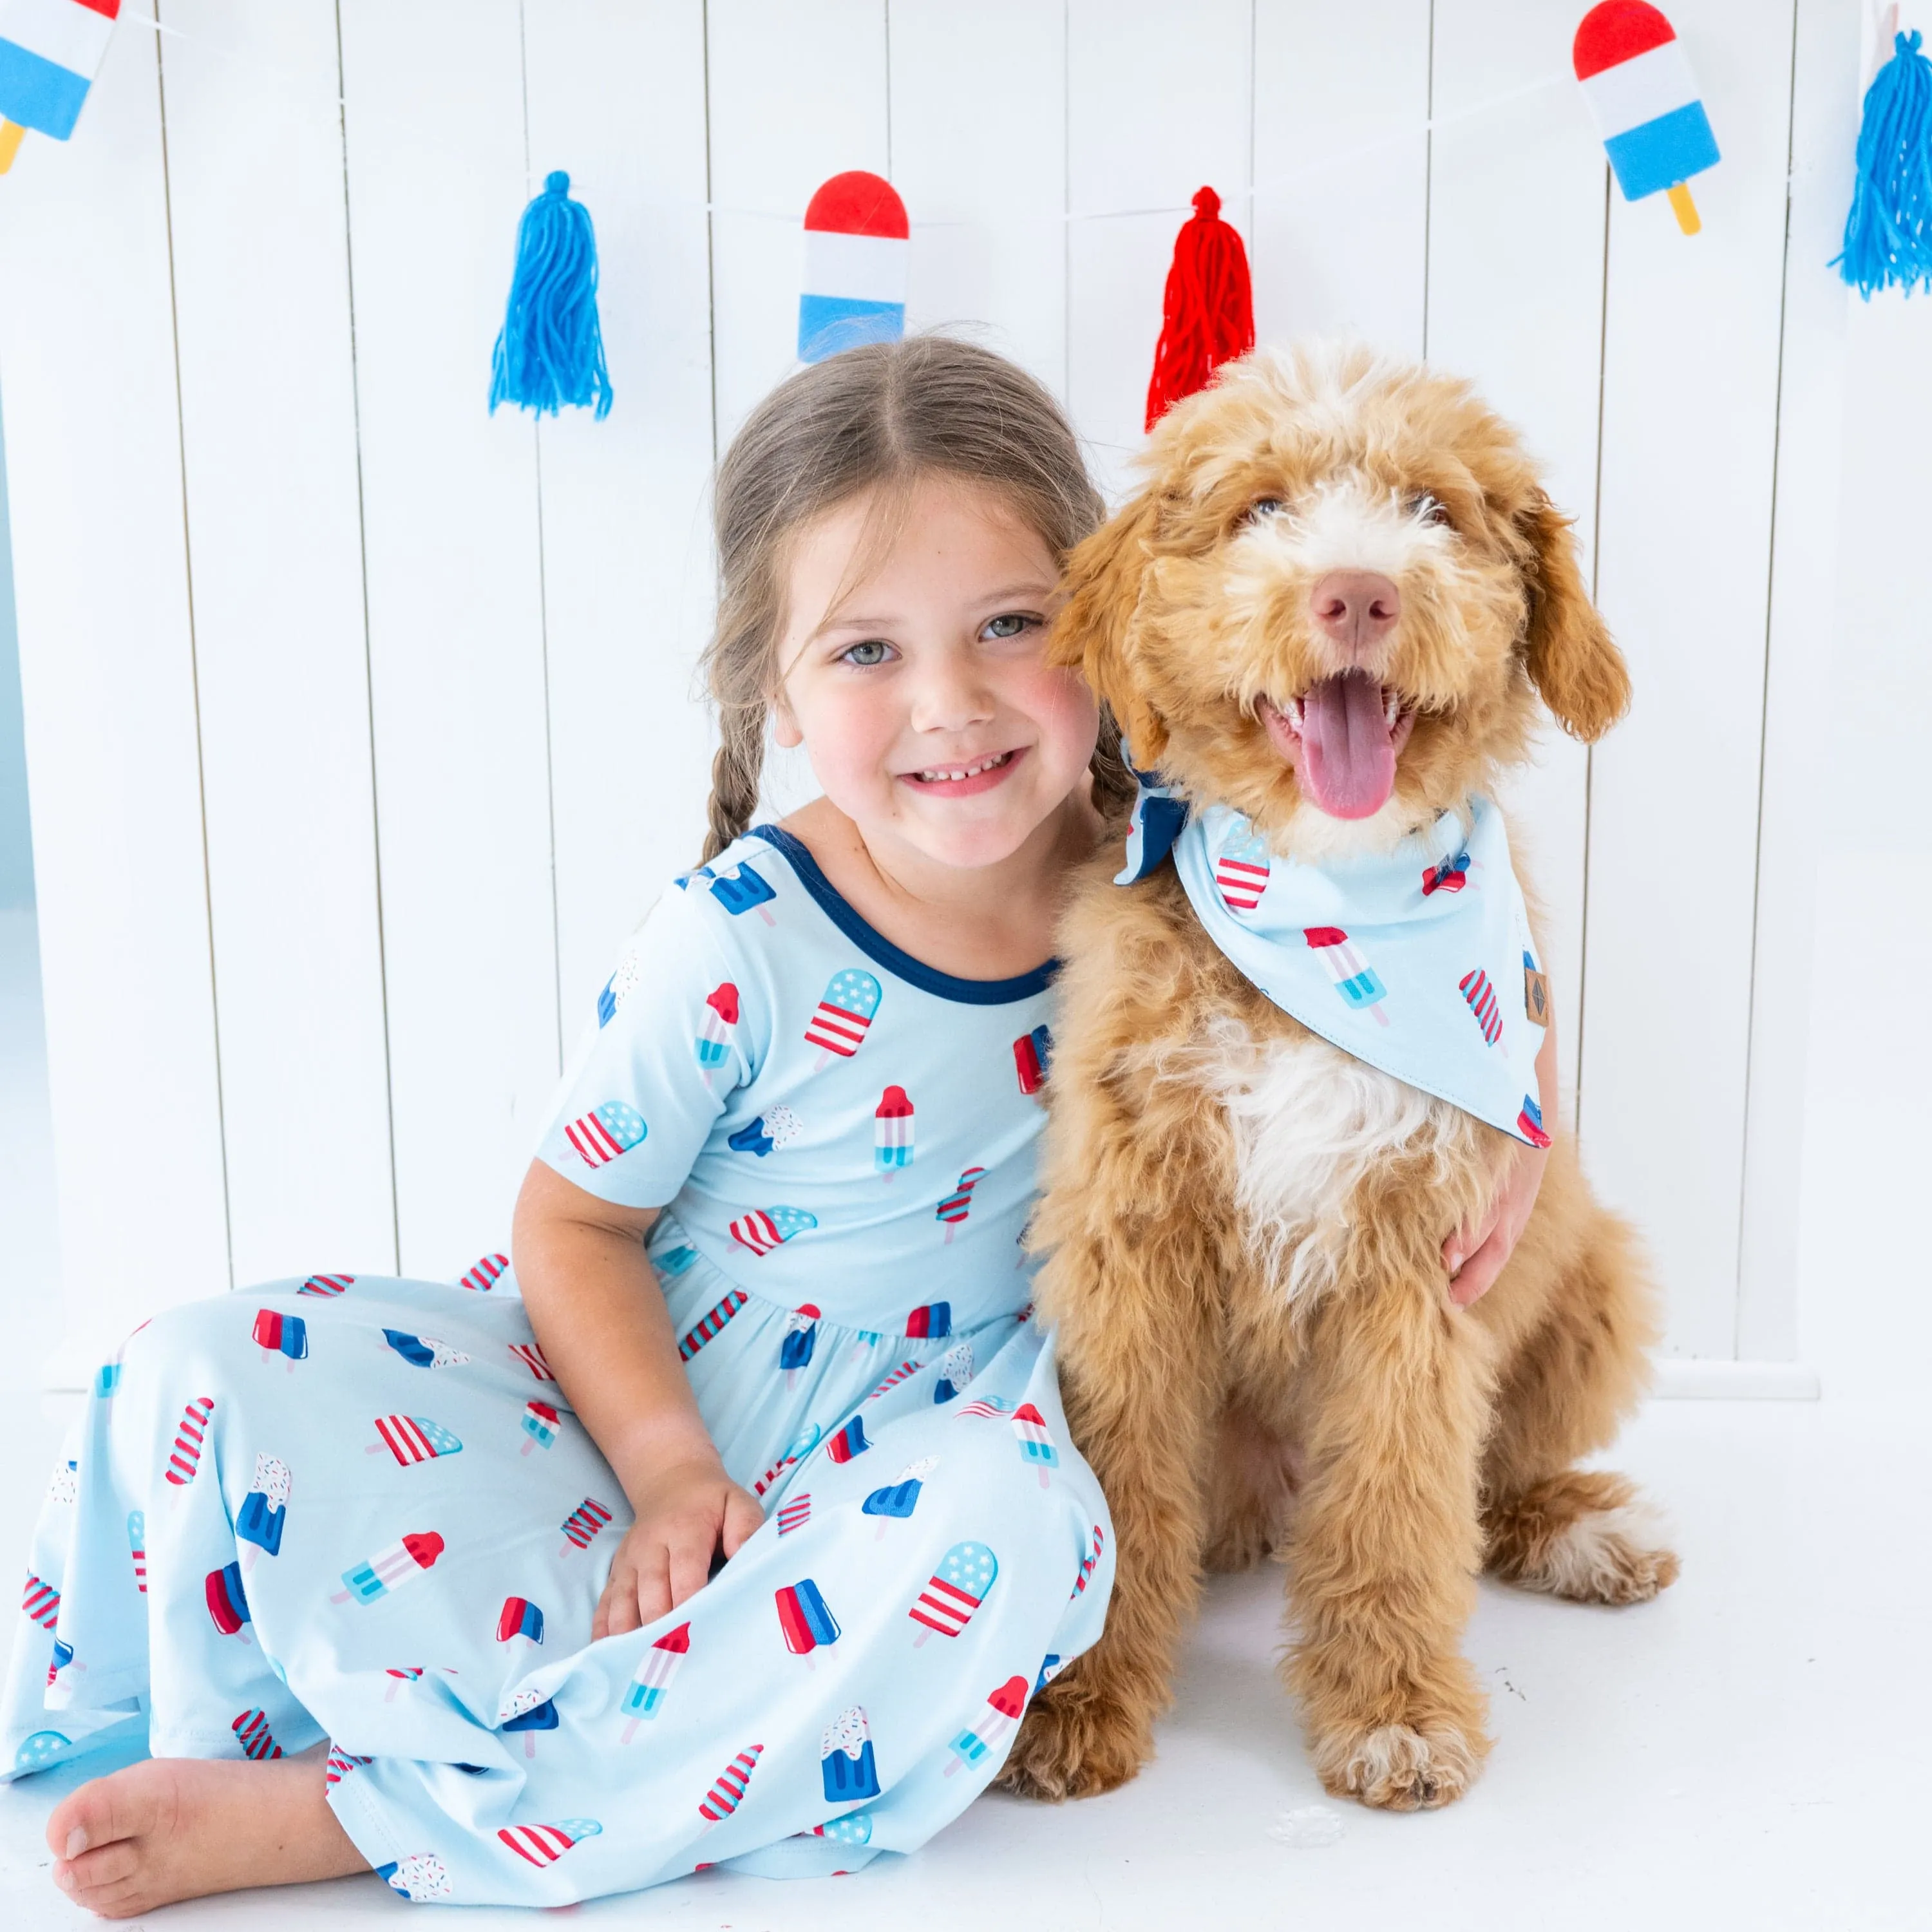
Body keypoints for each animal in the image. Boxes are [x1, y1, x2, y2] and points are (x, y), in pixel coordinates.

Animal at [1005, 344, 1685, 1808]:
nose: (1359, 591)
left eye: (1434, 509)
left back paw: (1581, 1532)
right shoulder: (1128, 1248)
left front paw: (1393, 1713)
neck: (1329, 909)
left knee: (1494, 1482)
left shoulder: (1417, 1269)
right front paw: (1081, 1699)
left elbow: (1398, 1498)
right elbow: (1118, 1486)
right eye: (1261, 508)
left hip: (1596, 1274)